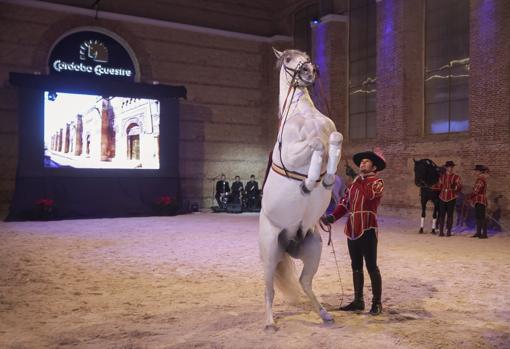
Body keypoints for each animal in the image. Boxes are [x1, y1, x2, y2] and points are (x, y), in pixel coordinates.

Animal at [258, 48, 342, 328]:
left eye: (306, 56)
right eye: (288, 60)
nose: (309, 71)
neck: (302, 113)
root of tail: (289, 241)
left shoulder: (333, 134)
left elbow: (334, 139)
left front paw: (328, 179)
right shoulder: (292, 153)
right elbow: (316, 144)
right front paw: (309, 182)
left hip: (314, 249)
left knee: (305, 282)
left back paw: (325, 314)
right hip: (270, 254)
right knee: (269, 288)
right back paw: (270, 323)